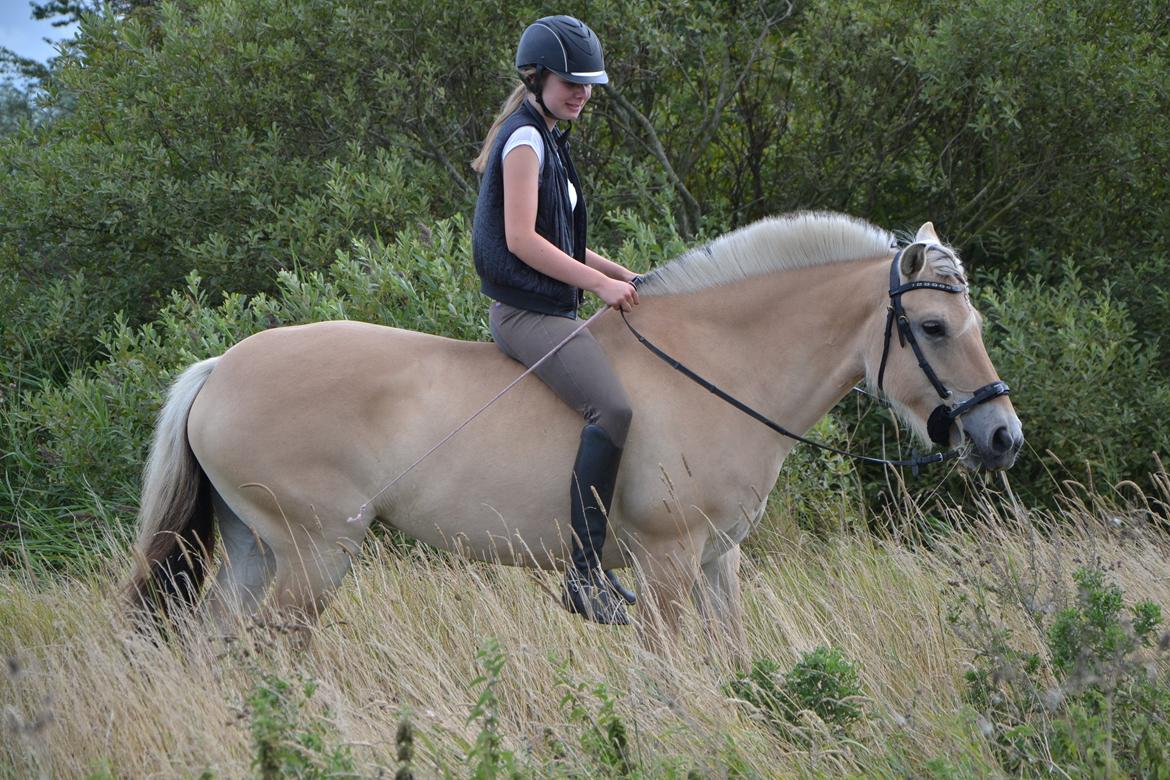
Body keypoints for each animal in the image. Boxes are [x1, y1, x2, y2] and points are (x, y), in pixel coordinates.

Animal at [123, 210, 1024, 654]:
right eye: (935, 328)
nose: (1003, 437)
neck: (720, 368)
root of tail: (221, 369)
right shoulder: (666, 565)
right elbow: (670, 676)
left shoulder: (718, 560)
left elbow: (730, 660)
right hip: (315, 554)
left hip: (254, 547)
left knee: (214, 643)